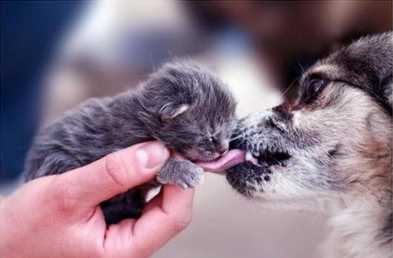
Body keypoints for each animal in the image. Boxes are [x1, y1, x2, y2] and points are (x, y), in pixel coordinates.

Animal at [24, 60, 236, 224]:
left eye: (229, 128)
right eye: (210, 134)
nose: (223, 149)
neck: (143, 120)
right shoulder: (116, 143)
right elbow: (157, 165)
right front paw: (183, 170)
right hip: (57, 160)